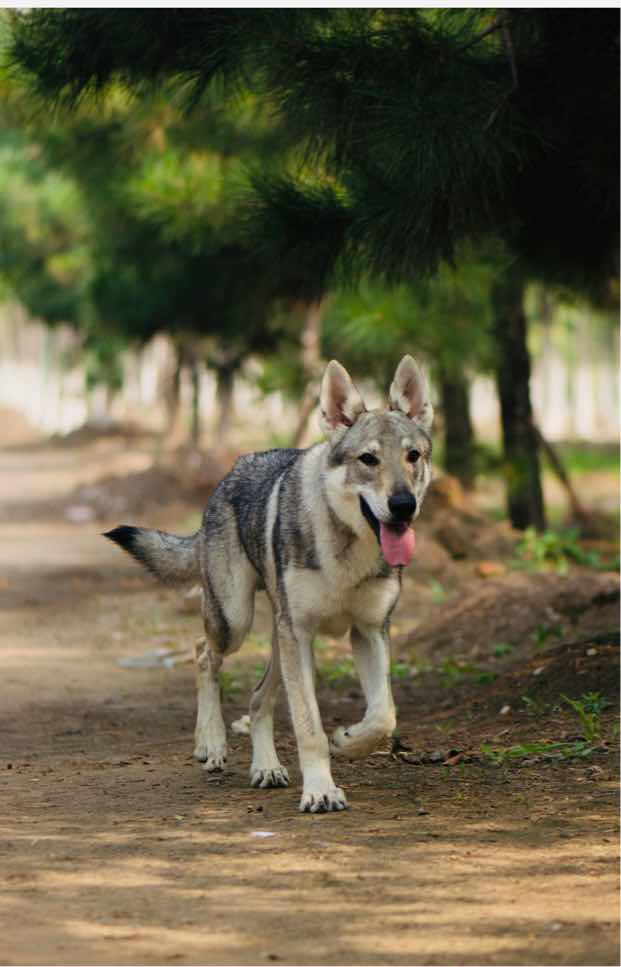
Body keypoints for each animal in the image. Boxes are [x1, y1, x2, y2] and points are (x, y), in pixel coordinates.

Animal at [104, 354, 434, 808]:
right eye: (368, 459)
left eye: (413, 456)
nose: (403, 505)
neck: (348, 546)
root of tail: (230, 471)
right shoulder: (300, 632)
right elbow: (309, 726)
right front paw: (320, 790)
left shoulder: (368, 631)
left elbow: (383, 715)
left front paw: (347, 740)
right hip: (237, 622)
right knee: (202, 652)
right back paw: (211, 743)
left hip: (281, 640)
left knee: (259, 697)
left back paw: (266, 768)